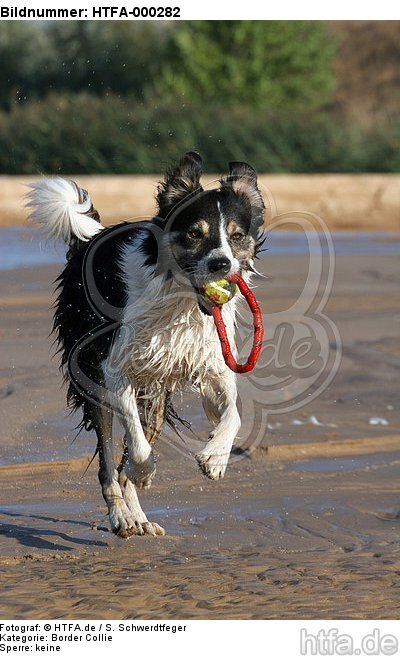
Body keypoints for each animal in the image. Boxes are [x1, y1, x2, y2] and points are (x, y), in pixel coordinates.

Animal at [28, 152, 266, 540]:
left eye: (237, 235)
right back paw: (122, 518)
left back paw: (138, 517)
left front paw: (215, 458)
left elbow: (233, 414)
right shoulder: (114, 369)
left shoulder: (212, 365)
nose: (221, 264)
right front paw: (144, 473)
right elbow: (135, 450)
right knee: (109, 462)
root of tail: (89, 240)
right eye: (195, 233)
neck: (180, 300)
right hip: (94, 379)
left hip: (155, 396)